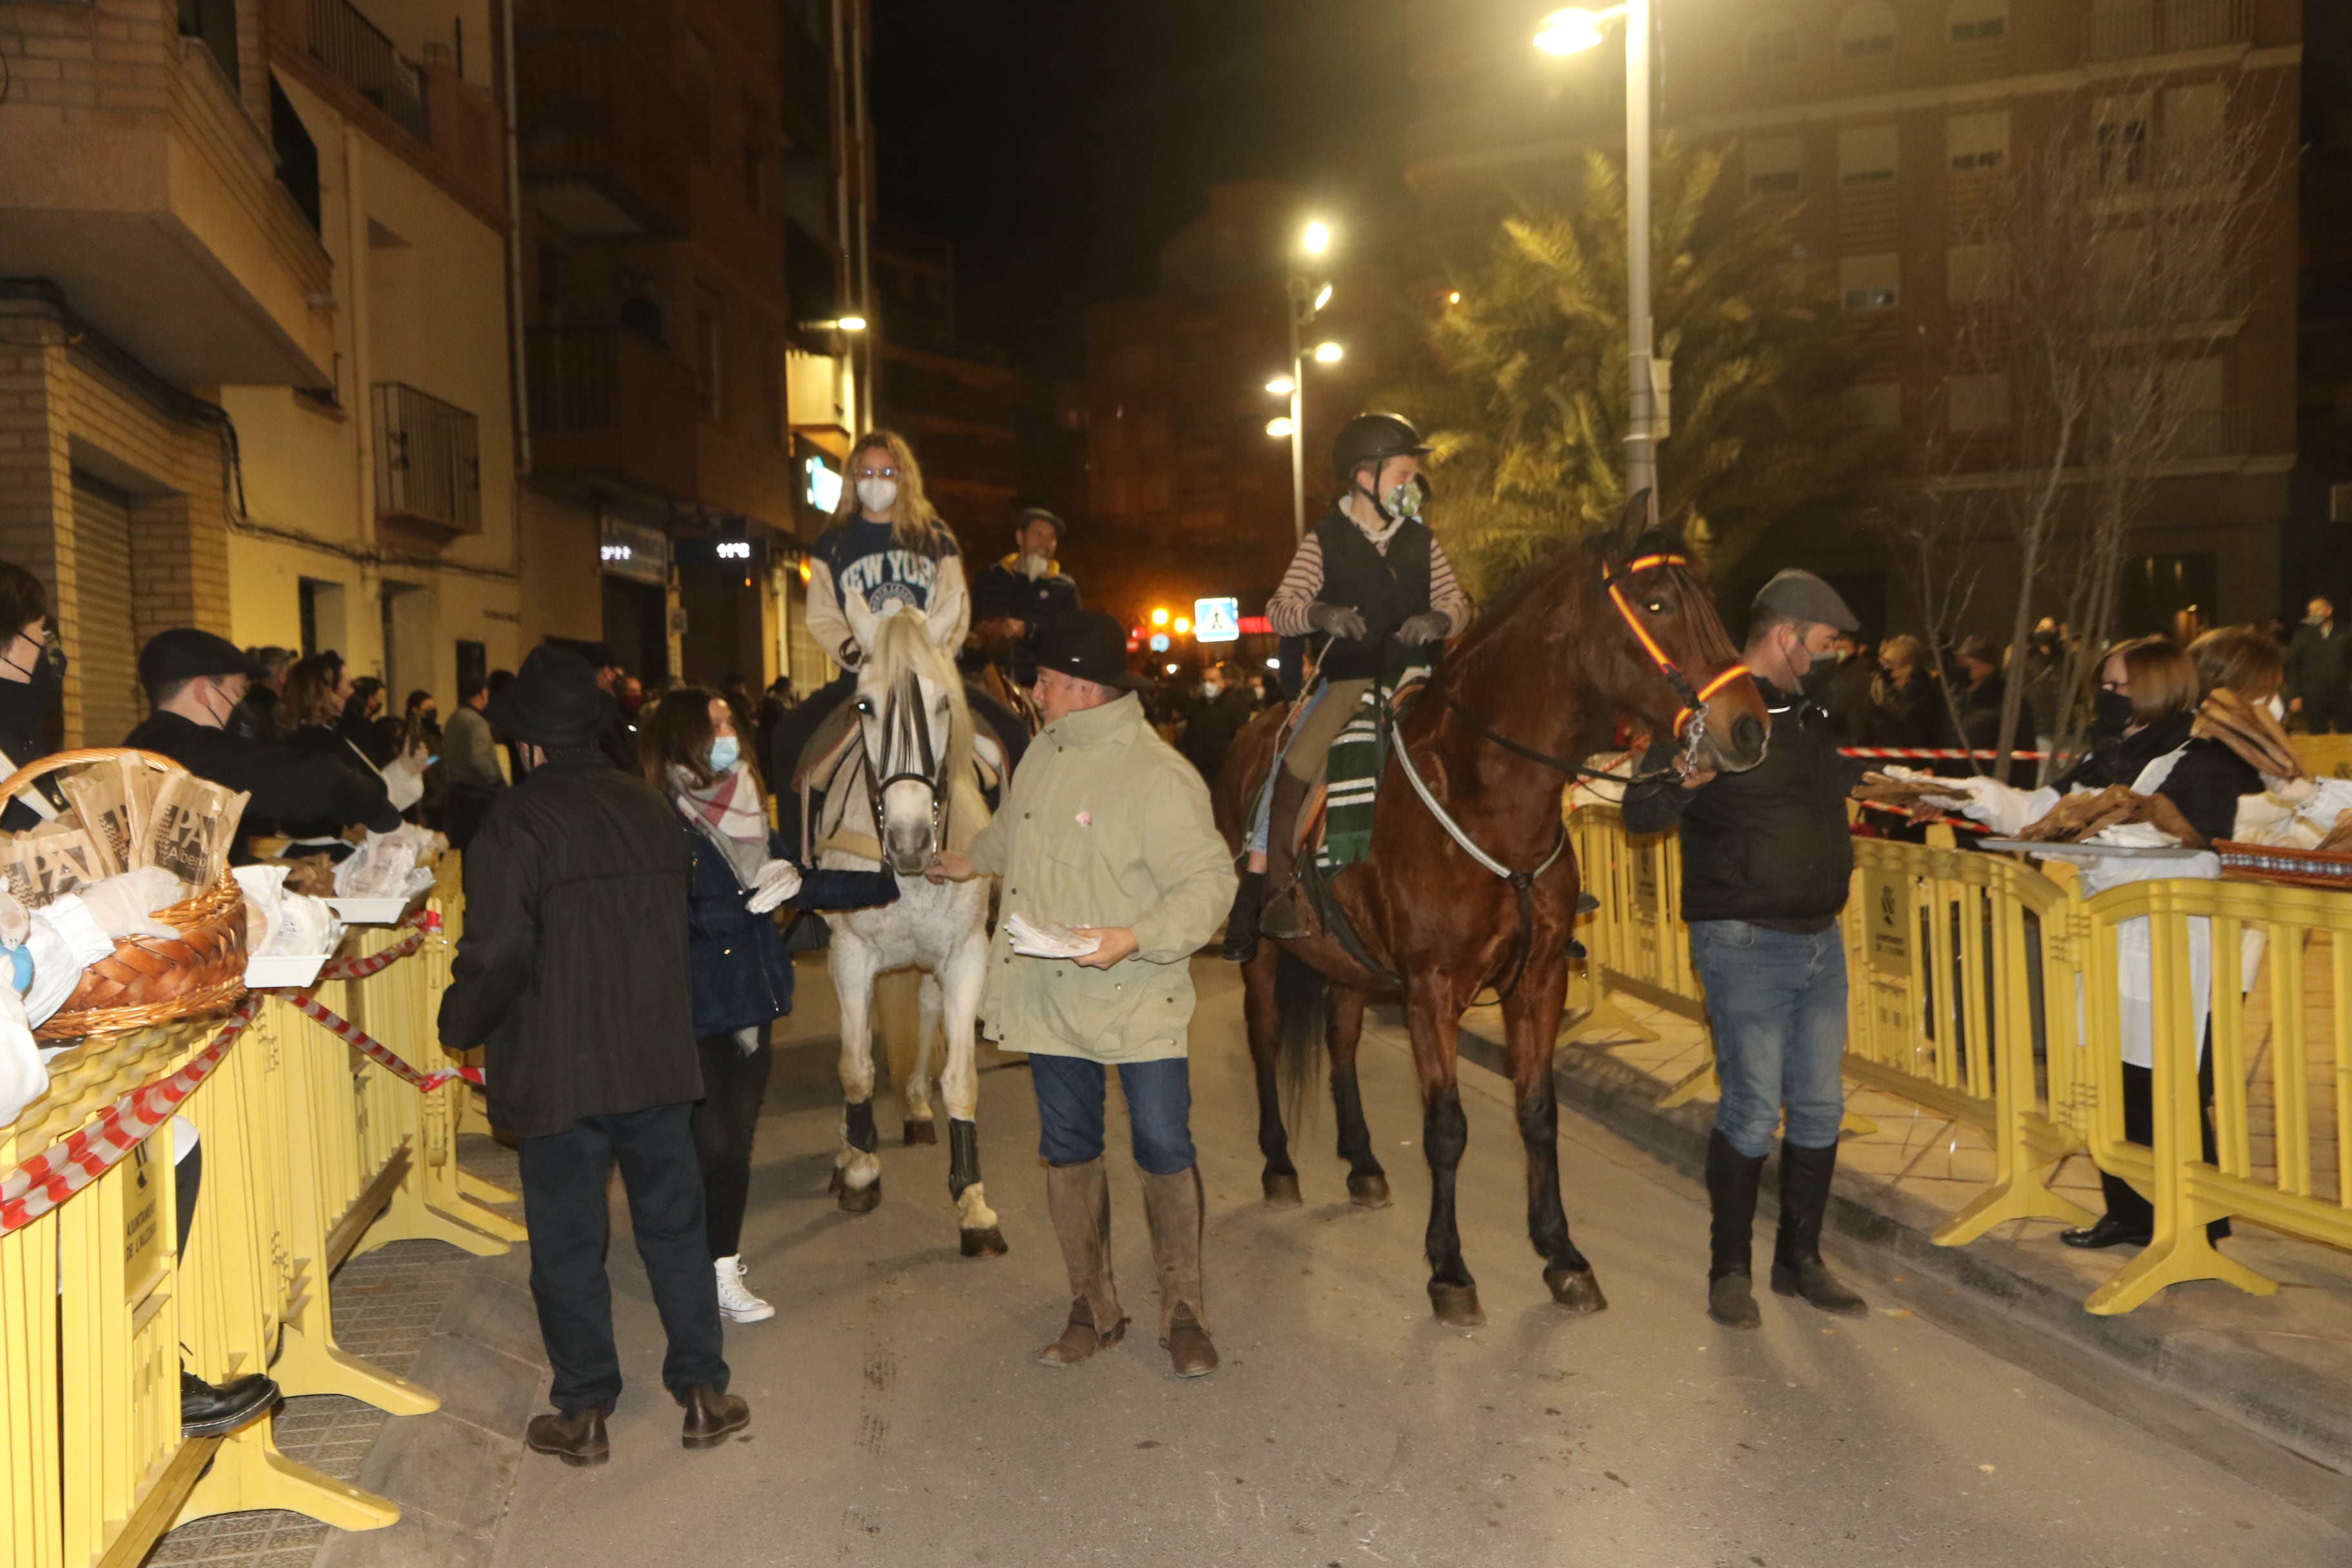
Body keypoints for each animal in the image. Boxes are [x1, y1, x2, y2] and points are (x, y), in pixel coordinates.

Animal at [814, 594, 1006, 1260]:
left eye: (945, 702)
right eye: (865, 706)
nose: (910, 842)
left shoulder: (966, 955)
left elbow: (962, 1079)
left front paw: (973, 1204)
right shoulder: (850, 954)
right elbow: (854, 1066)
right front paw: (860, 1170)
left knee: (923, 1016)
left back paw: (919, 1107)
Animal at [1213, 503, 1769, 1326]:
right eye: (1659, 604)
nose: (1751, 728)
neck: (1494, 798)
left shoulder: (1538, 981)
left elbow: (1538, 1112)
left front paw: (1562, 1254)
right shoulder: (1433, 990)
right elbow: (1446, 1127)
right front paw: (1449, 1268)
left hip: (1347, 961)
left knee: (1342, 1039)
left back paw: (1363, 1161)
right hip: (1265, 953)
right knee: (1265, 1036)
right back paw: (1280, 1161)